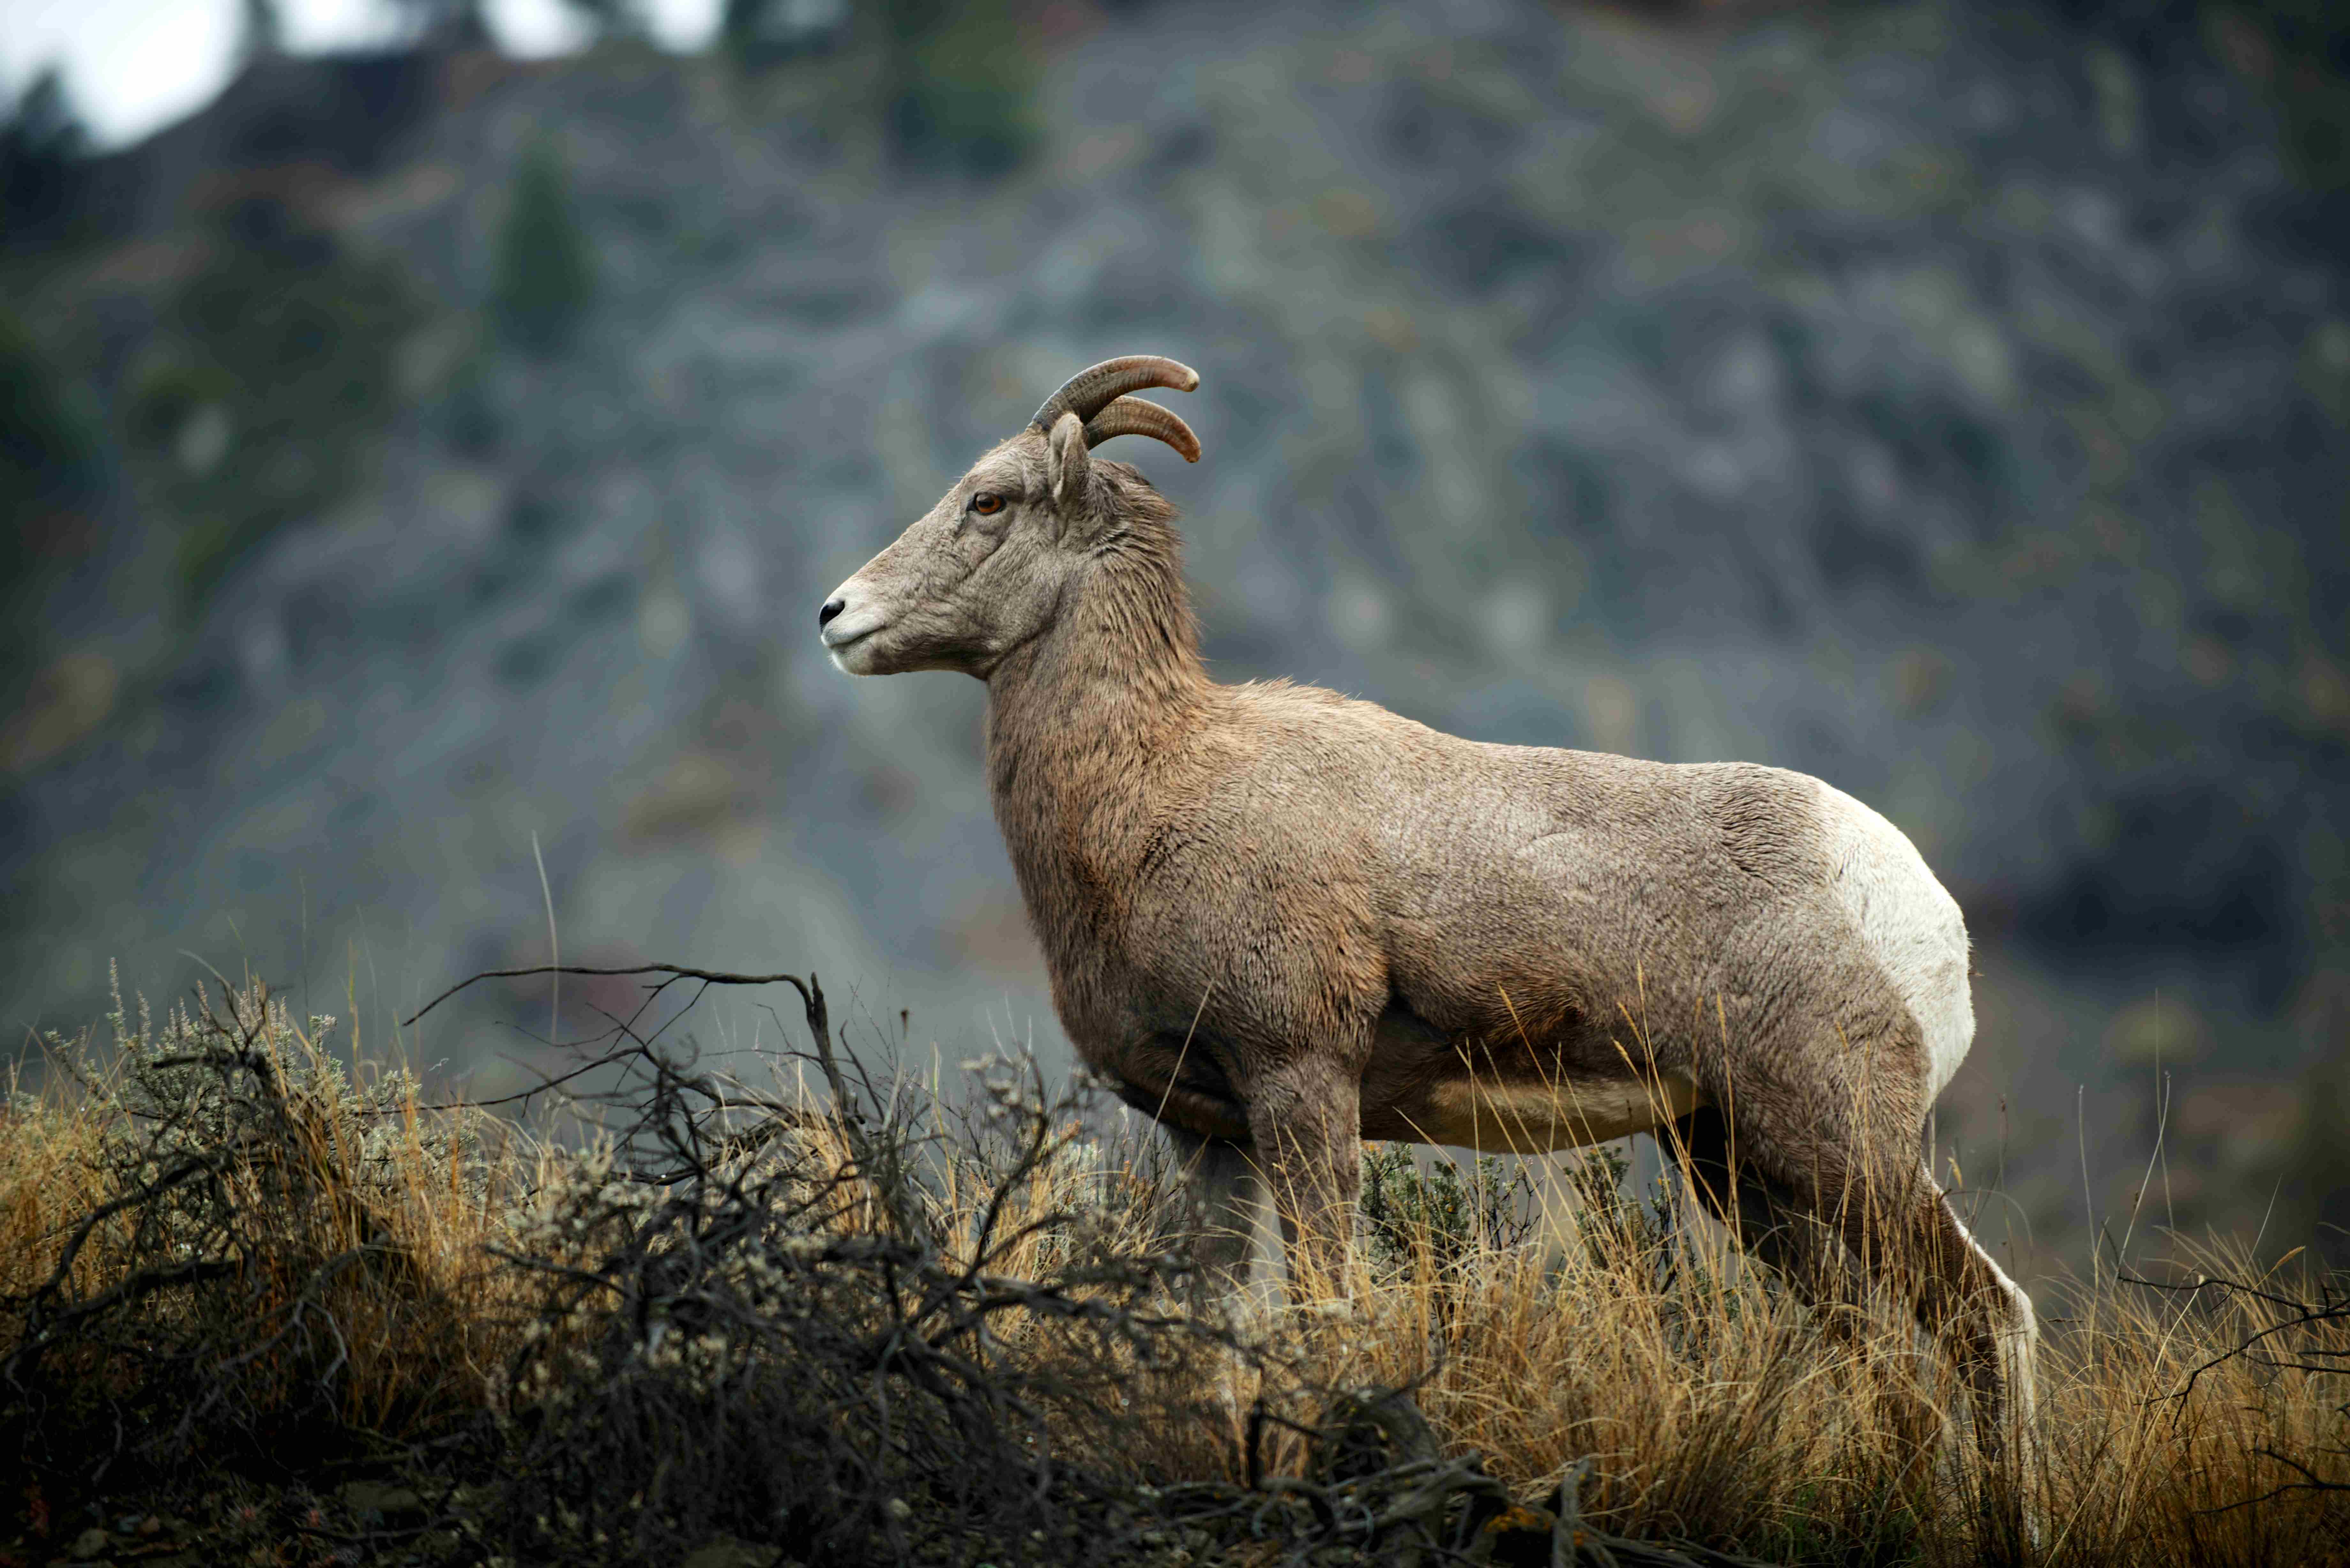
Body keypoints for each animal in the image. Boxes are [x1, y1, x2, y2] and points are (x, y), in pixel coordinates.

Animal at [818, 354, 2039, 1484]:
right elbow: (1204, 1345)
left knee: (1991, 1319)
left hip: (1843, 1147)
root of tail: (1922, 914)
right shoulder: (1207, 1135)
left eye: (989, 500)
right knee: (1891, 1373)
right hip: (1739, 1171)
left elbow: (1322, 1321)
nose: (836, 616)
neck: (1152, 790)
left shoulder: (1301, 1085)